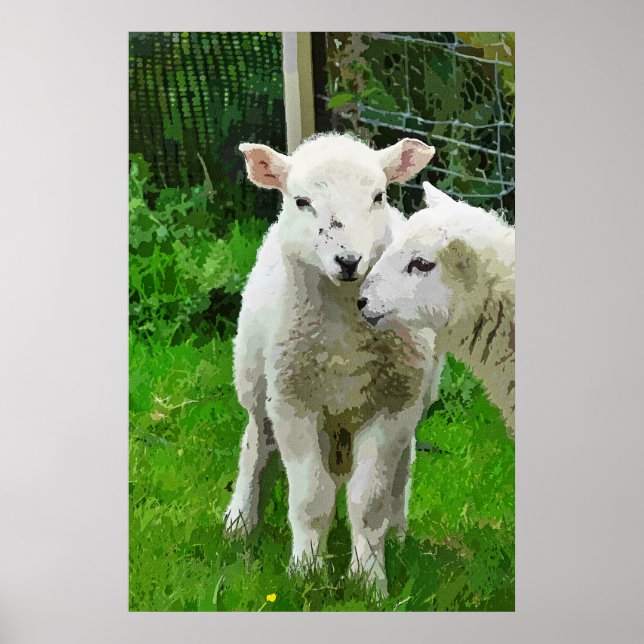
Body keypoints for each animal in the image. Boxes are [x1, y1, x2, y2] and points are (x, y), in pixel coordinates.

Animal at [224, 134, 439, 595]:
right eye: (302, 201)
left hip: (412, 399)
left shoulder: (393, 405)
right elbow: (311, 497)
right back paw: (239, 522)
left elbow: (368, 501)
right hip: (255, 379)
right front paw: (305, 571)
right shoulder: (293, 403)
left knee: (401, 469)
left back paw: (398, 534)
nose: (348, 260)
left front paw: (369, 579)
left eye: (378, 196)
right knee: (255, 447)